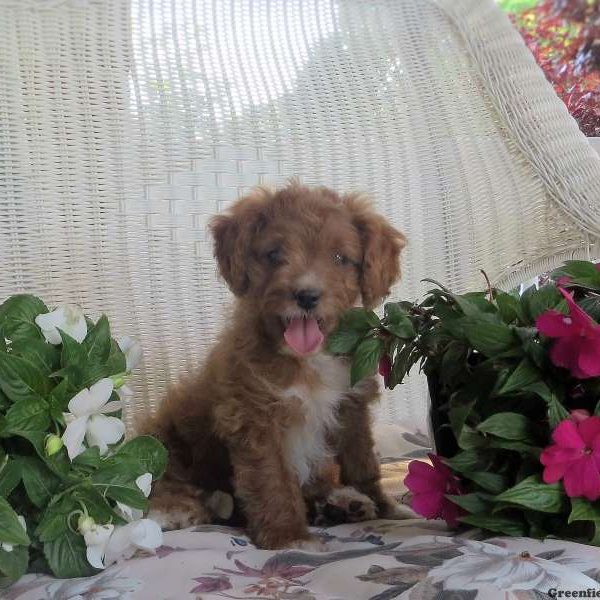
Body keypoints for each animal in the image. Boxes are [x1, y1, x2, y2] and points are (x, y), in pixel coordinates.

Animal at [142, 182, 408, 548]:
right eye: (273, 255)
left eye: (340, 258)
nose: (306, 295)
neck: (308, 360)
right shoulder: (253, 416)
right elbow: (272, 478)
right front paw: (288, 536)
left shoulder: (351, 408)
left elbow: (362, 463)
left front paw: (384, 507)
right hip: (167, 440)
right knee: (165, 484)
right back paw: (172, 511)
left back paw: (343, 504)